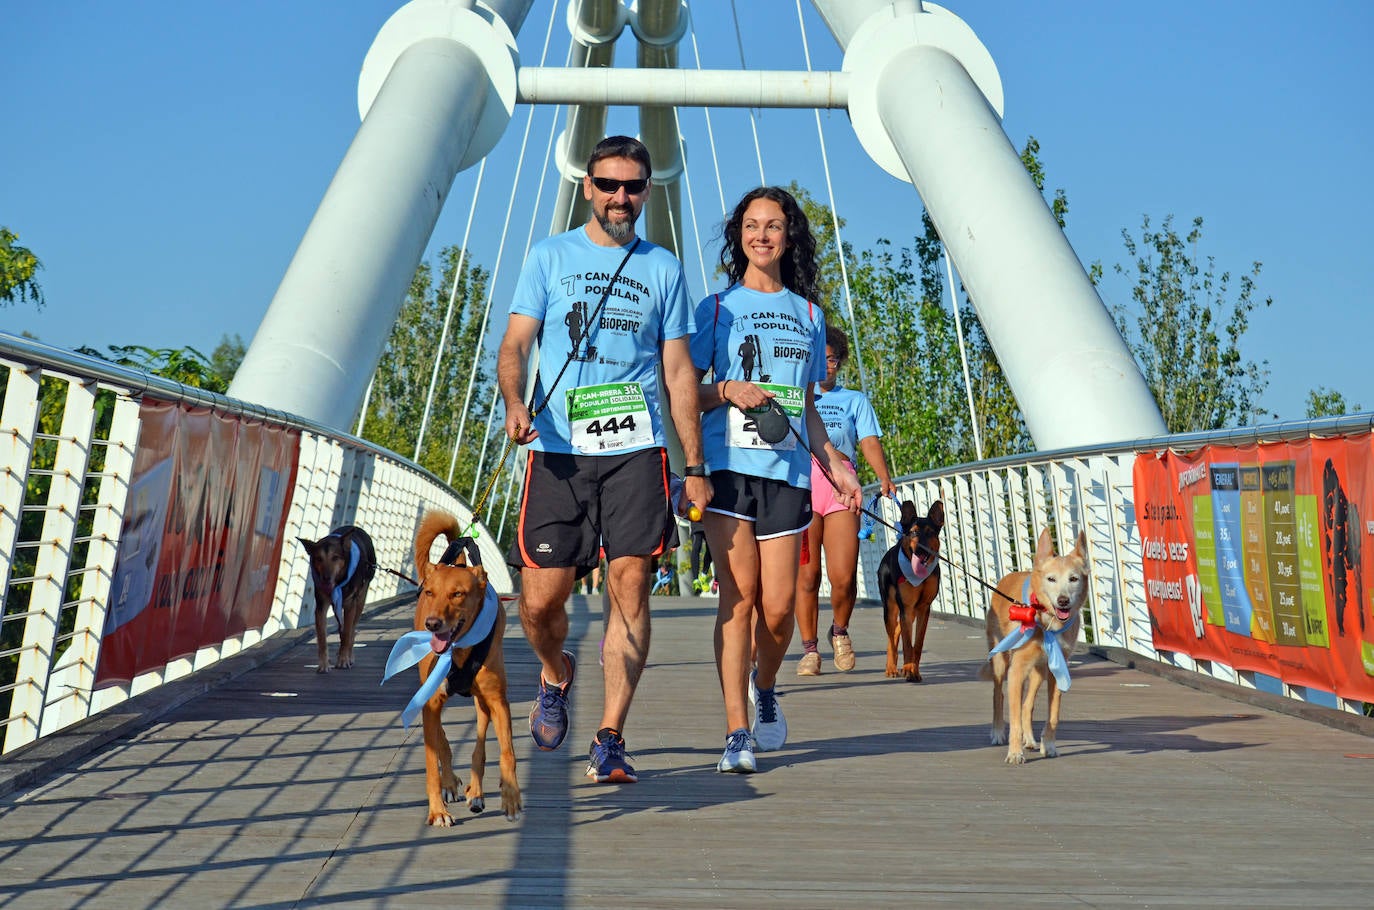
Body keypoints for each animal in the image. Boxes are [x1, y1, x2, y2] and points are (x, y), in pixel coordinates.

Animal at [299, 527, 376, 670]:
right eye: (319, 558)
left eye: (335, 557)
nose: (326, 578)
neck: (338, 582)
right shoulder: (321, 606)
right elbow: (322, 638)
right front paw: (324, 664)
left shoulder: (350, 604)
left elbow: (347, 633)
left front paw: (344, 659)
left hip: (360, 599)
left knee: (351, 629)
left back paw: (349, 655)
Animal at [406, 508, 519, 830]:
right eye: (430, 593)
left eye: (457, 594)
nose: (432, 624)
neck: (459, 650)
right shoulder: (430, 702)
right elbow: (432, 759)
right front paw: (437, 810)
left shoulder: (498, 701)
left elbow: (507, 753)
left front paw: (511, 798)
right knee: (442, 741)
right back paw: (449, 784)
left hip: (483, 702)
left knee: (479, 746)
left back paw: (476, 793)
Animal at [873, 500, 939, 684]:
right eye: (914, 532)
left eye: (930, 533)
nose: (921, 550)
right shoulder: (907, 608)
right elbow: (908, 644)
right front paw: (909, 670)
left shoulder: (923, 609)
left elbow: (917, 644)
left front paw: (913, 671)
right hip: (890, 608)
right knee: (891, 636)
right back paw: (891, 668)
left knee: (896, 630)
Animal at [983, 527, 1088, 769]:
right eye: (1051, 579)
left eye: (1074, 579)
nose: (1063, 601)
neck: (1047, 620)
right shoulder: (1017, 670)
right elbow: (1013, 718)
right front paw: (1014, 753)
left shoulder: (1057, 669)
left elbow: (1053, 714)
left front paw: (1048, 745)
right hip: (1001, 661)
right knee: (998, 695)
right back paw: (997, 732)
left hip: (1038, 671)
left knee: (1026, 704)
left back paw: (1030, 739)